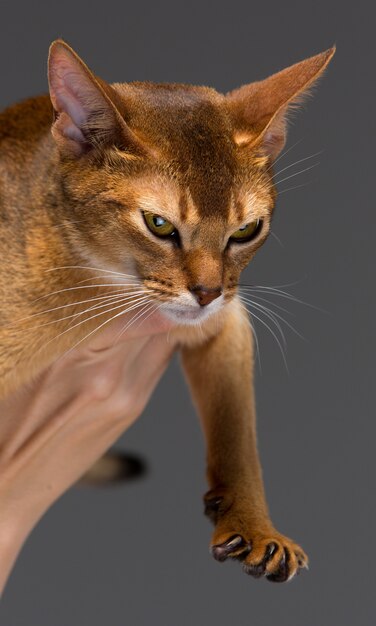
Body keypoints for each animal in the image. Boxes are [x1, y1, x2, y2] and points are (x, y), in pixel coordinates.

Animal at [0, 40, 334, 580]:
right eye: (159, 224)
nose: (207, 292)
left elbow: (239, 435)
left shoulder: (228, 323)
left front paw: (255, 527)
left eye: (246, 230)